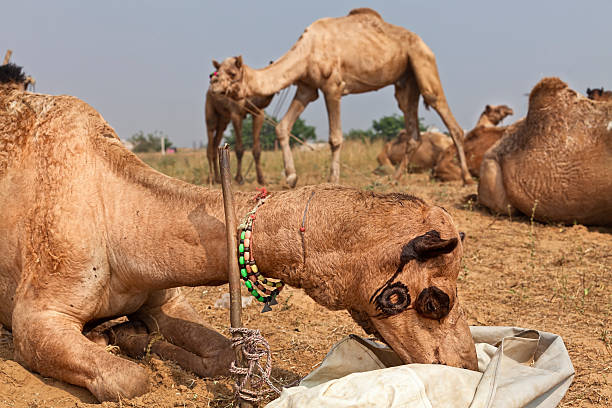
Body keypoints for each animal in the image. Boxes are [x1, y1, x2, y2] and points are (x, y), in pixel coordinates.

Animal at [0, 66, 478, 402]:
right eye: (437, 301)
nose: (466, 363)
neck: (116, 216)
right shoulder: (37, 318)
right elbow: (130, 380)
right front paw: (118, 341)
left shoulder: (164, 296)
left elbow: (222, 354)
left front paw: (131, 336)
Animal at [210, 7, 474, 187]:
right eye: (217, 71)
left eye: (231, 73)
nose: (213, 84)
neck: (306, 51)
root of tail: (423, 42)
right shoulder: (307, 88)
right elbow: (282, 127)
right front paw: (292, 177)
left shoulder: (332, 86)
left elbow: (335, 138)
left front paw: (333, 179)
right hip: (405, 80)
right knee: (412, 128)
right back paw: (396, 179)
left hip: (422, 59)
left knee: (443, 110)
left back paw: (467, 178)